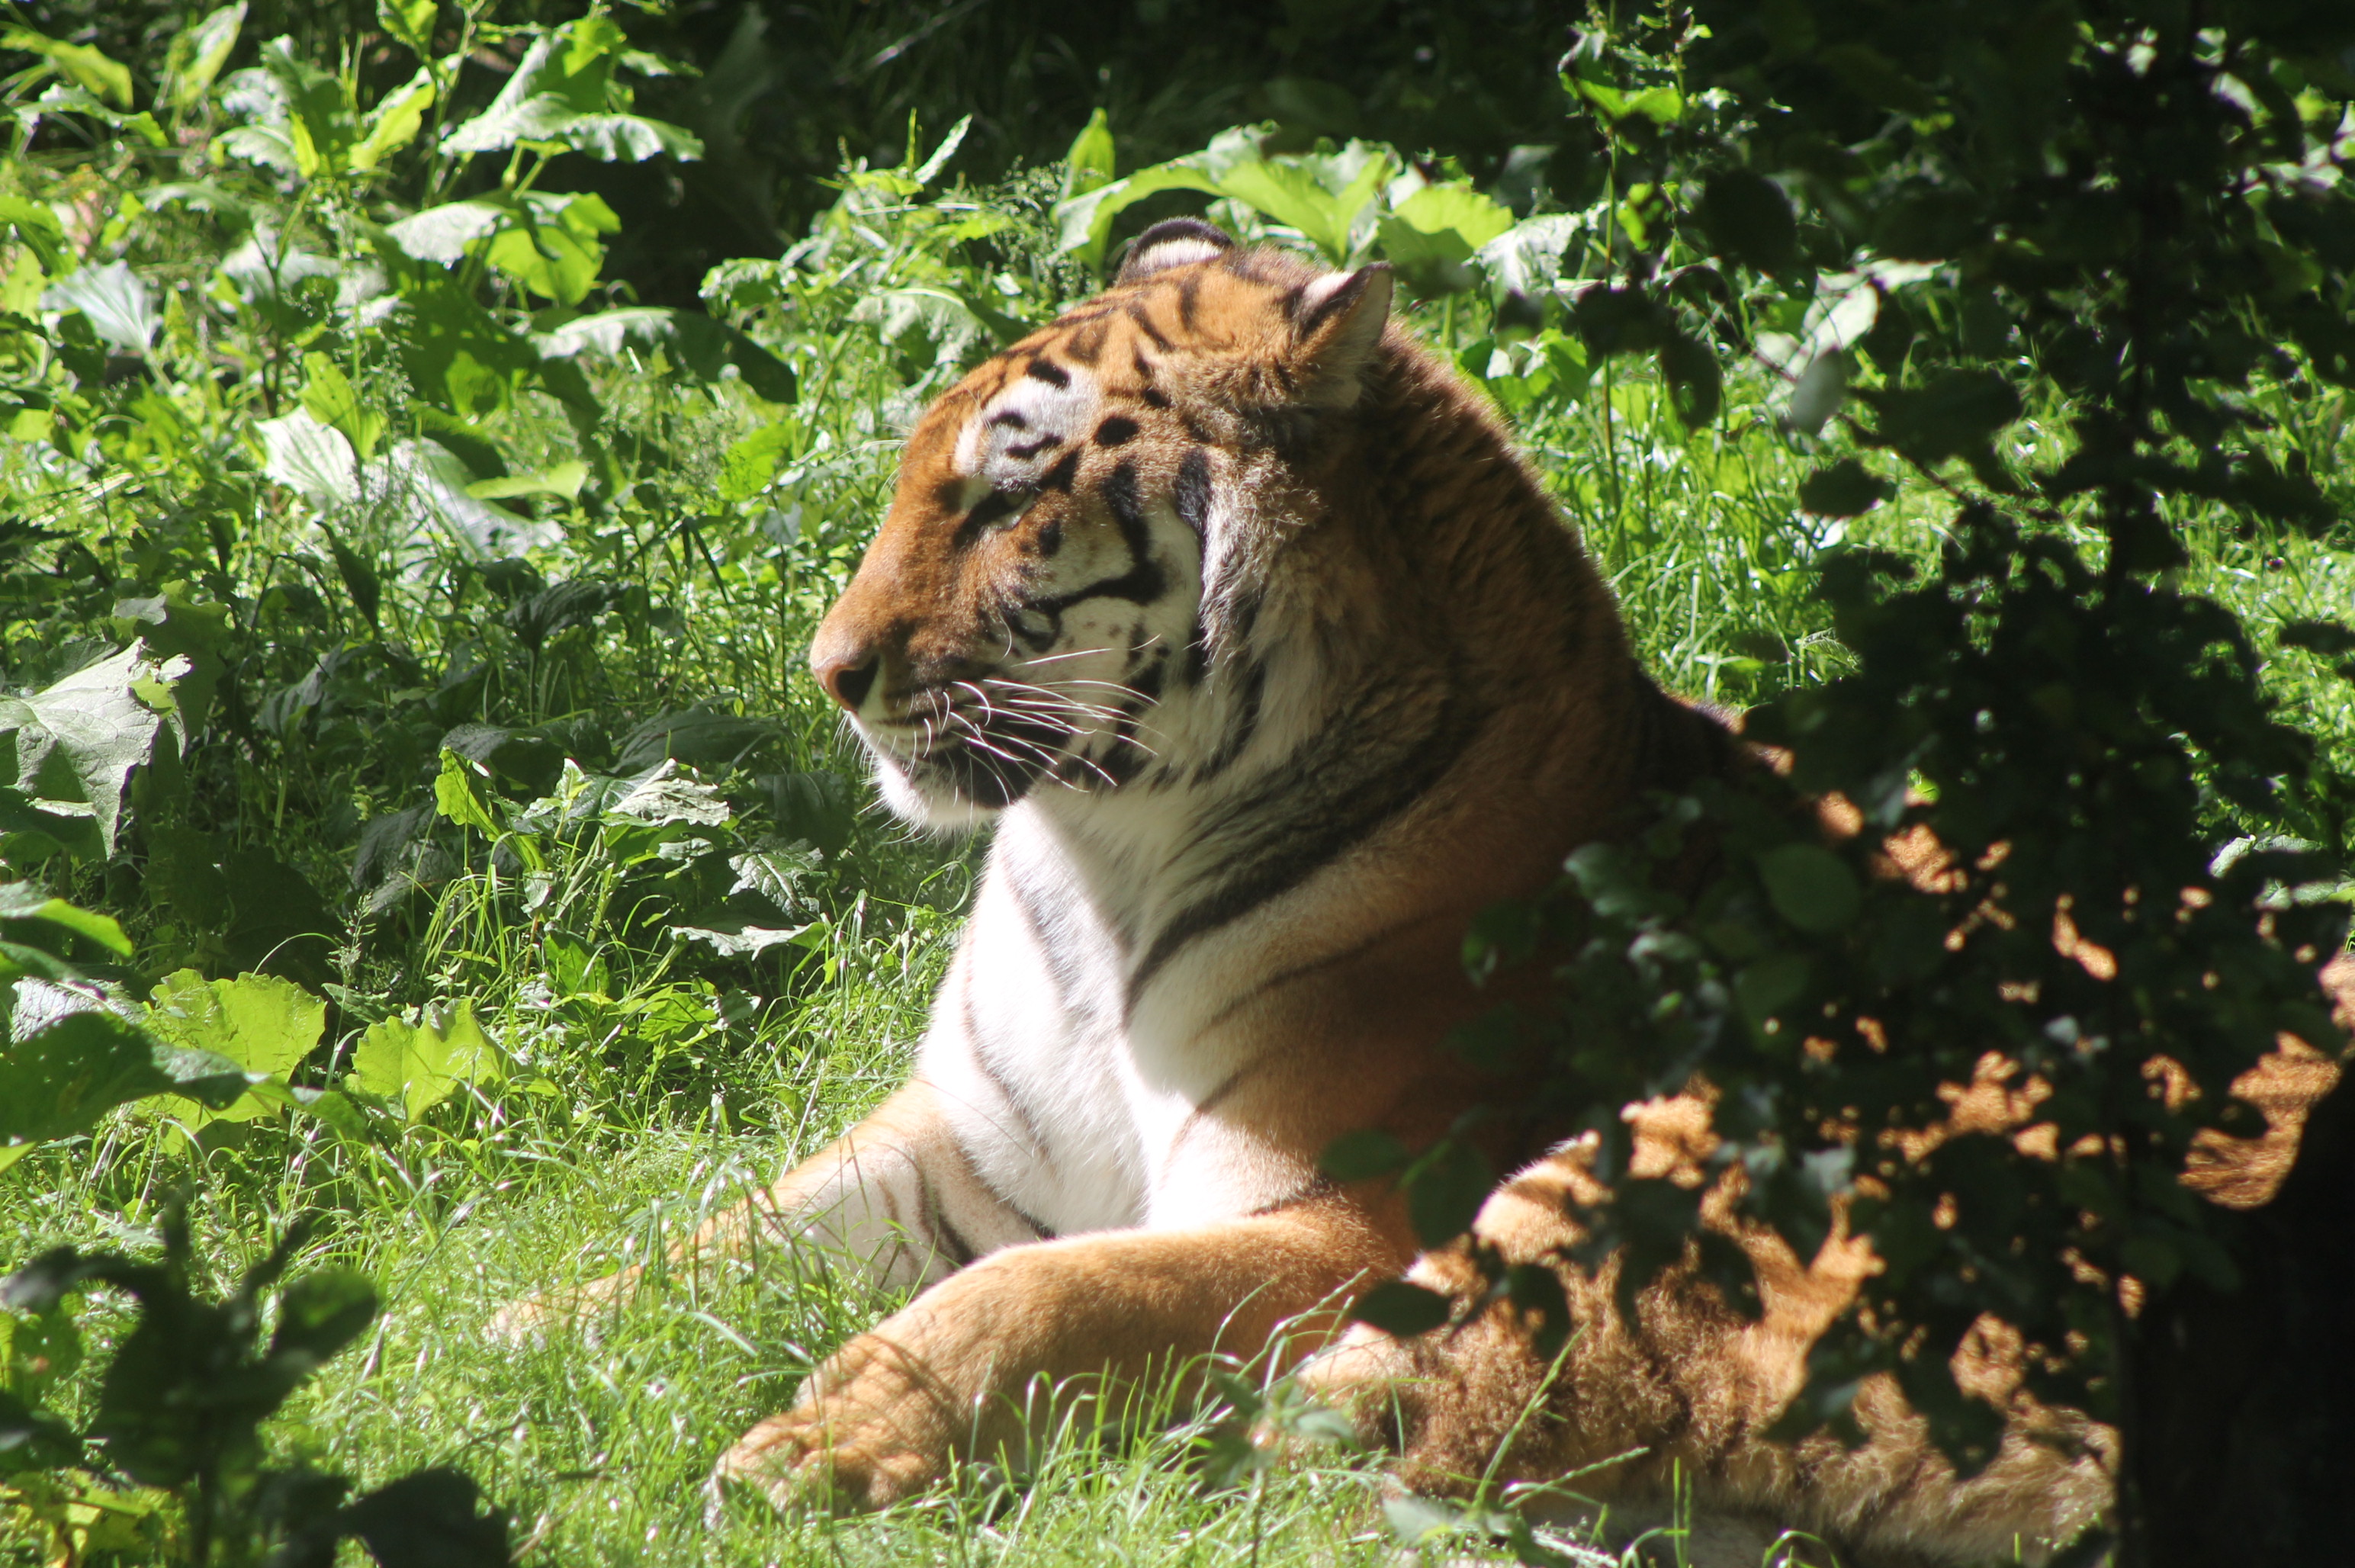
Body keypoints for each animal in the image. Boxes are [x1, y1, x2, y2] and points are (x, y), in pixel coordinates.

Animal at [501, 220, 2336, 1563]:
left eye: (1010, 490)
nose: (831, 673)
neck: (1098, 858)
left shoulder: (1335, 1212)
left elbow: (1030, 1292)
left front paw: (811, 1444)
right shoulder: (965, 1143)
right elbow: (694, 1238)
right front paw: (487, 1345)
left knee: (1319, 1454)